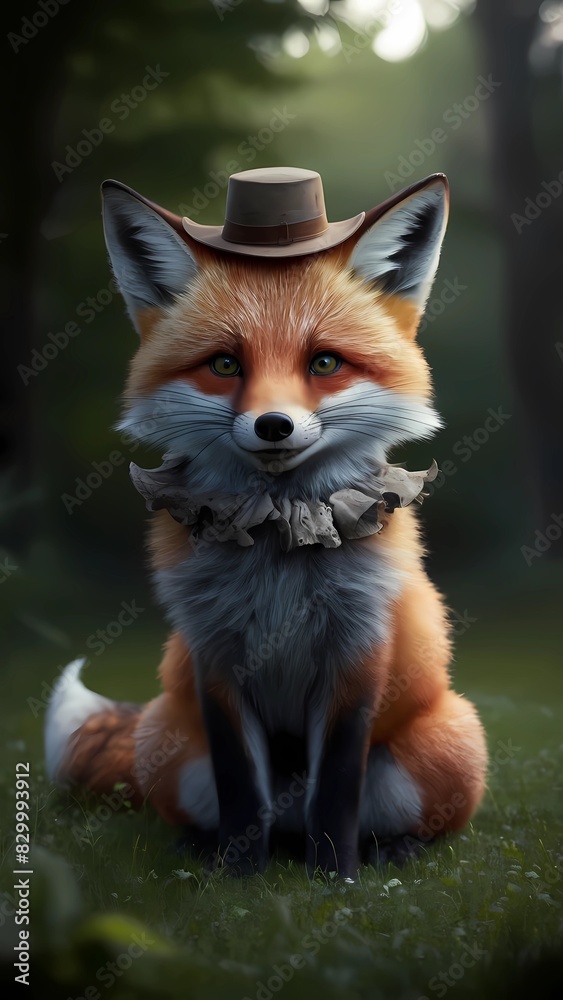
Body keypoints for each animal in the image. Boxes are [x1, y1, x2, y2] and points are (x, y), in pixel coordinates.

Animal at [45, 167, 488, 879]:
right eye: (225, 364)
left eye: (325, 363)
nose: (273, 425)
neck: (281, 542)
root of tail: (289, 823)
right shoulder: (216, 659)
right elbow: (238, 786)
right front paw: (237, 878)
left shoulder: (357, 657)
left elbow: (336, 787)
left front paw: (335, 878)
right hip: (167, 737)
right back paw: (203, 847)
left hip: (445, 744)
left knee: (401, 821)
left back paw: (388, 850)